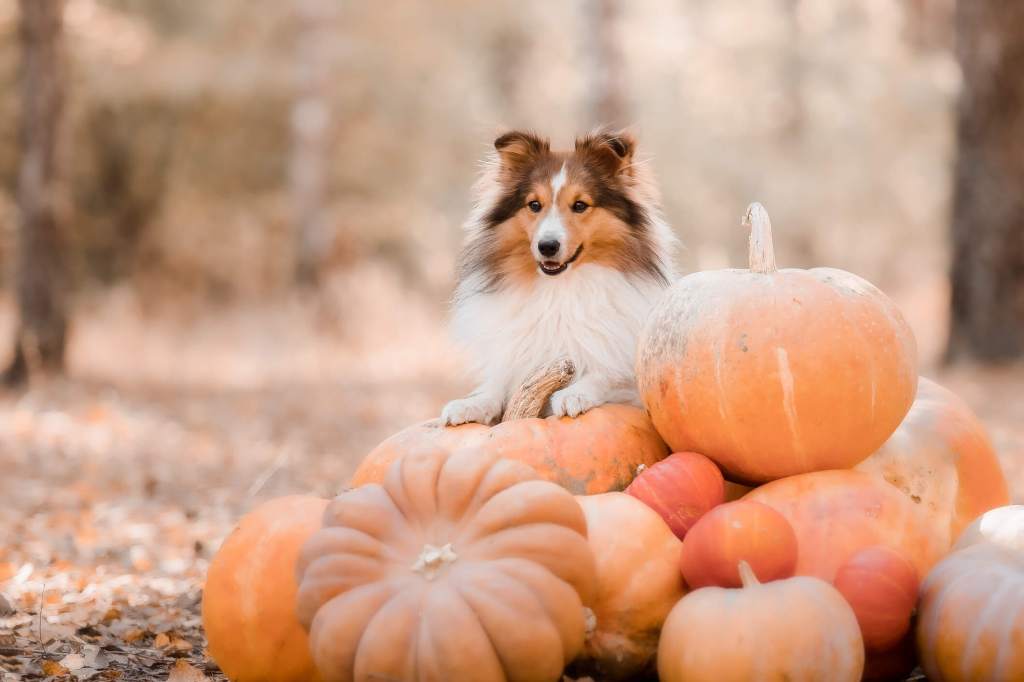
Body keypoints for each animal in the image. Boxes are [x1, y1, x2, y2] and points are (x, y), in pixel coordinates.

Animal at [438, 128, 671, 421]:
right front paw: (470, 404)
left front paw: (574, 394)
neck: (560, 288)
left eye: (580, 205)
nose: (547, 246)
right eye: (534, 205)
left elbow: (607, 374)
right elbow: (497, 386)